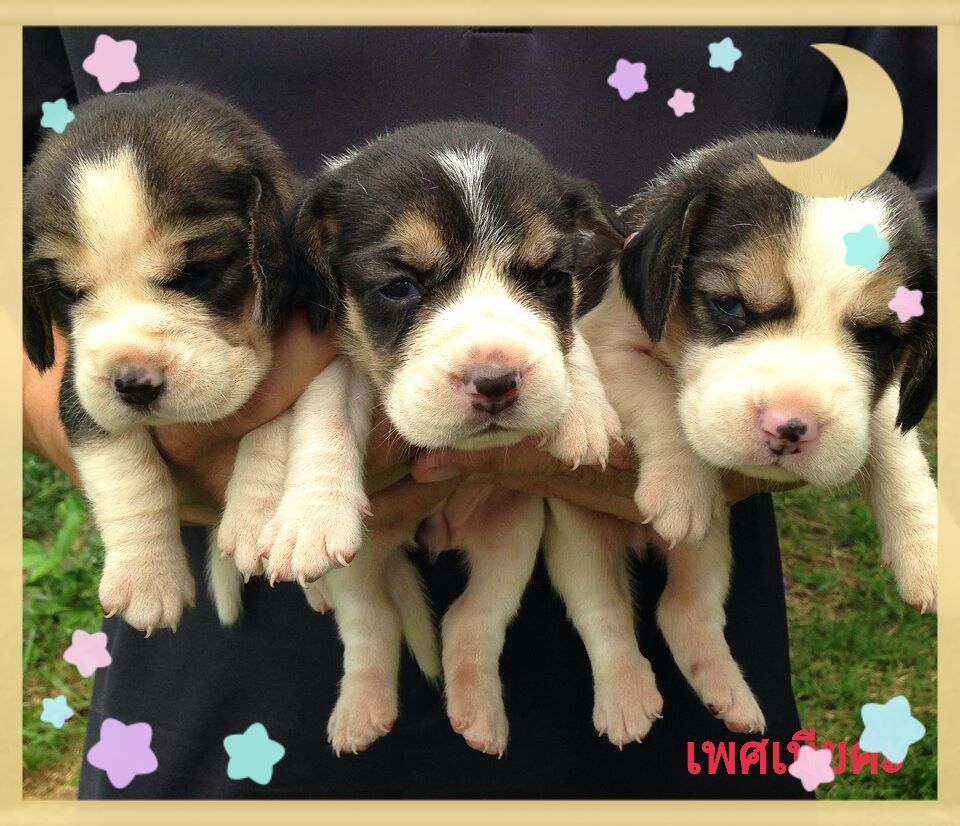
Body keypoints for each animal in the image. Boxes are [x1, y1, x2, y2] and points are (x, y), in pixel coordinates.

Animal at [23, 85, 309, 632]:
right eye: (68, 293)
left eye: (199, 273)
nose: (134, 384)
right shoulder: (81, 393)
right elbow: (124, 472)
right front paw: (146, 576)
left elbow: (276, 422)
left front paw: (256, 514)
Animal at [216, 121, 665, 755]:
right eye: (399, 286)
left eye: (553, 278)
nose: (496, 381)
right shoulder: (330, 353)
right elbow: (324, 418)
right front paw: (314, 515)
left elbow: (568, 342)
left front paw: (584, 411)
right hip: (363, 561)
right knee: (371, 625)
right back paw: (362, 711)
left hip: (514, 534)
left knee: (470, 620)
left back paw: (478, 712)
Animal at [572, 131, 937, 732]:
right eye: (730, 305)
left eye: (878, 338)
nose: (790, 427)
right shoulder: (606, 344)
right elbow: (659, 397)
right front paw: (682, 488)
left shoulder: (879, 401)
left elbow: (896, 450)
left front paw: (925, 546)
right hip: (580, 543)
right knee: (605, 615)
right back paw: (626, 699)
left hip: (712, 552)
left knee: (683, 611)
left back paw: (731, 697)